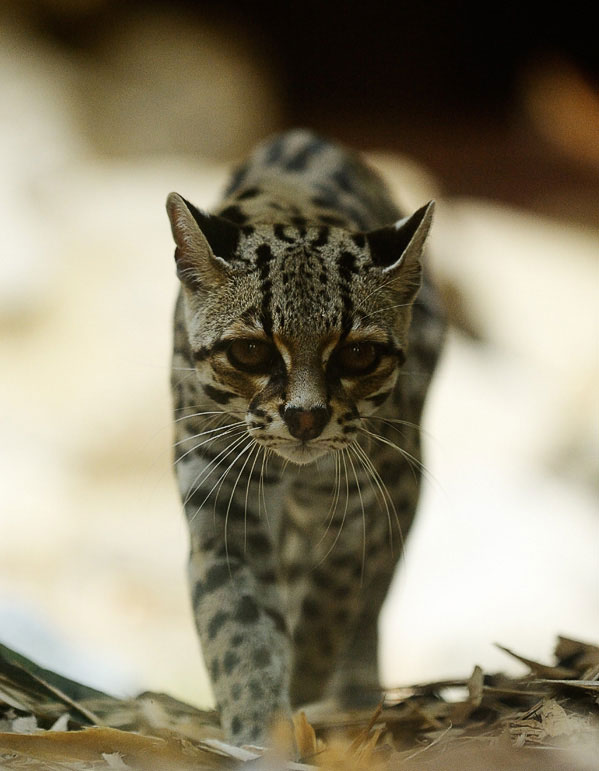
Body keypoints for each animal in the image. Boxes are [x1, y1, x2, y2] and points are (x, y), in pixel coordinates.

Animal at [166, 131, 442, 748]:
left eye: (358, 355)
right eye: (250, 351)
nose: (306, 418)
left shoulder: (372, 494)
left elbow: (335, 595)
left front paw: (307, 679)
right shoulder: (221, 497)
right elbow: (238, 624)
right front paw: (258, 731)